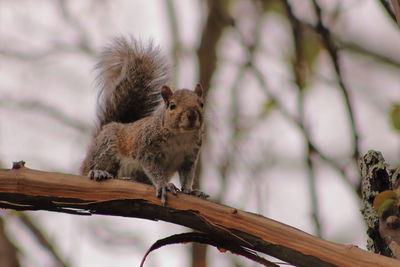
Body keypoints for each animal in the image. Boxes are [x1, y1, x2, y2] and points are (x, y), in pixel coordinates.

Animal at [81, 37, 206, 205]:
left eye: (201, 104)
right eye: (172, 106)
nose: (192, 115)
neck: (181, 136)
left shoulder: (189, 157)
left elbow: (187, 176)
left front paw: (191, 191)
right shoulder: (147, 149)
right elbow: (153, 169)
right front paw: (163, 184)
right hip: (107, 146)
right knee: (96, 165)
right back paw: (98, 172)